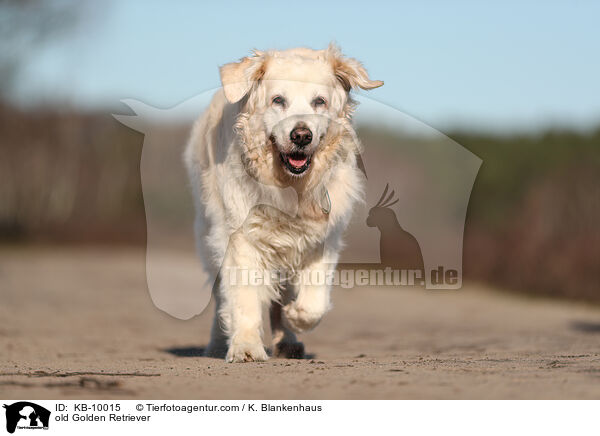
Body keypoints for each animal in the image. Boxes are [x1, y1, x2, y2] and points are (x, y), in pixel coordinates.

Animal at [185, 45, 382, 364]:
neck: (291, 187)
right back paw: (216, 344)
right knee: (220, 296)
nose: (301, 136)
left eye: (319, 101)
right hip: (208, 235)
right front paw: (246, 346)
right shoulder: (240, 236)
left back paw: (288, 340)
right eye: (278, 100)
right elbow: (243, 296)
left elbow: (314, 299)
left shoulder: (322, 238)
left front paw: (296, 317)